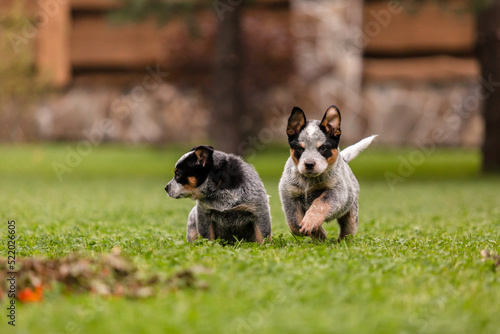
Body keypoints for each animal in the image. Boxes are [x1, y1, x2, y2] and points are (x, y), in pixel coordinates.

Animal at [278, 105, 376, 241]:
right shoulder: (289, 193)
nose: (309, 164)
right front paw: (317, 232)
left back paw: (343, 241)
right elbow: (294, 223)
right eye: (299, 148)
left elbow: (320, 203)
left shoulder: (337, 191)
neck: (308, 182)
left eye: (323, 148)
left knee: (348, 230)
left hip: (351, 215)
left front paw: (311, 223)